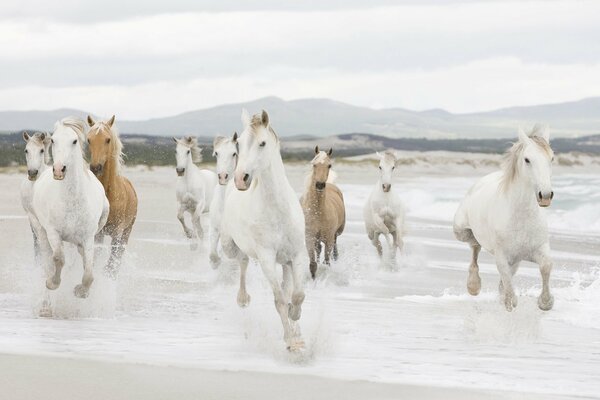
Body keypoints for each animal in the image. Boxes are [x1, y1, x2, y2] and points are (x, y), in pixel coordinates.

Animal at [31, 117, 110, 298]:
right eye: (53, 140)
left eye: (74, 141)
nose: (59, 170)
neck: (72, 200)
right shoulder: (53, 232)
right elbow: (59, 259)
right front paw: (52, 283)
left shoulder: (88, 237)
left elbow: (89, 272)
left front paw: (81, 291)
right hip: (40, 229)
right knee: (47, 257)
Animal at [86, 115, 138, 278]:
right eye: (89, 139)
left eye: (107, 140)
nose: (95, 167)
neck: (109, 195)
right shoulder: (98, 233)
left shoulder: (117, 233)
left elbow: (111, 263)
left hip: (127, 232)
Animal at [220, 109, 308, 350]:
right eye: (239, 144)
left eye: (262, 143)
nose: (241, 179)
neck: (278, 211)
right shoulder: (267, 258)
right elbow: (279, 300)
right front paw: (291, 342)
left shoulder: (297, 255)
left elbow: (297, 295)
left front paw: (296, 322)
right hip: (231, 246)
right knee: (242, 261)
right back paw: (242, 299)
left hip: (286, 261)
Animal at [300, 145, 346, 280]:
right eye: (314, 164)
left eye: (329, 165)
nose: (320, 185)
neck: (318, 213)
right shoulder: (309, 238)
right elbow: (312, 264)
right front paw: (314, 279)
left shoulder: (328, 238)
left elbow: (327, 262)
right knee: (319, 249)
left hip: (336, 233)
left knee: (334, 245)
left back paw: (336, 257)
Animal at [454, 126, 556, 312]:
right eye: (527, 160)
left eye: (551, 158)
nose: (545, 196)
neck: (521, 217)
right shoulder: (502, 256)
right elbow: (506, 281)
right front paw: (509, 301)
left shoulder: (539, 249)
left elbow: (546, 266)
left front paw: (545, 302)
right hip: (460, 231)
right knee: (474, 246)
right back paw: (473, 285)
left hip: (516, 260)